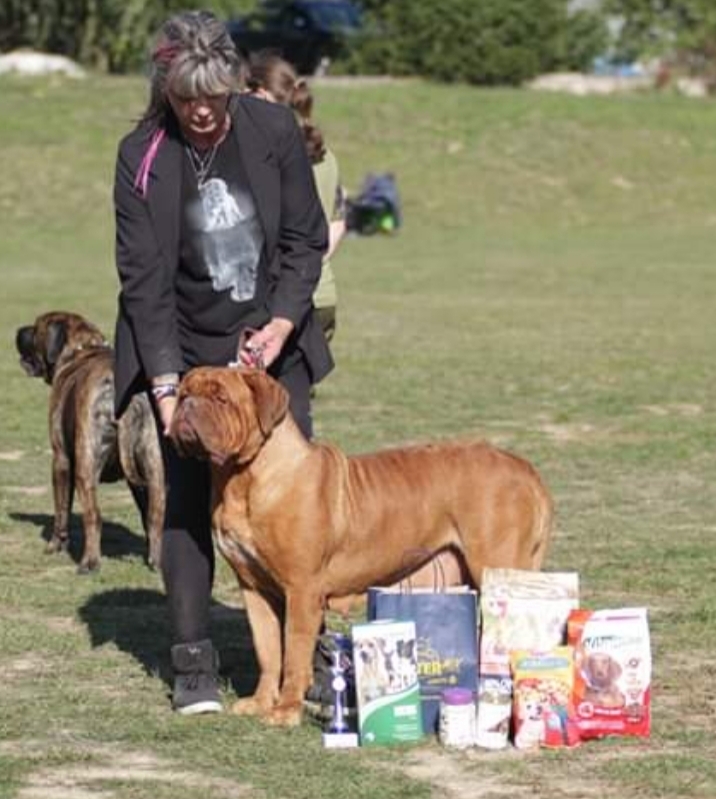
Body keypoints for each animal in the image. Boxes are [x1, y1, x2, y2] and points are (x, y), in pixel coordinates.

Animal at [15, 311, 165, 573]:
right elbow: (146, 513)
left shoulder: (61, 461)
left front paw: (55, 545)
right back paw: (157, 561)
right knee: (156, 513)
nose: (17, 332)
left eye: (35, 328)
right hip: (153, 464)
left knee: (93, 516)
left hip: (85, 464)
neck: (82, 348)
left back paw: (90, 562)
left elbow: (61, 510)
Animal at [170, 366, 554, 726]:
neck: (243, 479)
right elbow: (268, 651)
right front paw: (262, 702)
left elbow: (293, 654)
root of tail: (524, 468)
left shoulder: (302, 589)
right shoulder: (254, 589)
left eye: (221, 398)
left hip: (497, 569)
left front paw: (286, 710)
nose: (186, 404)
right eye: (183, 392)